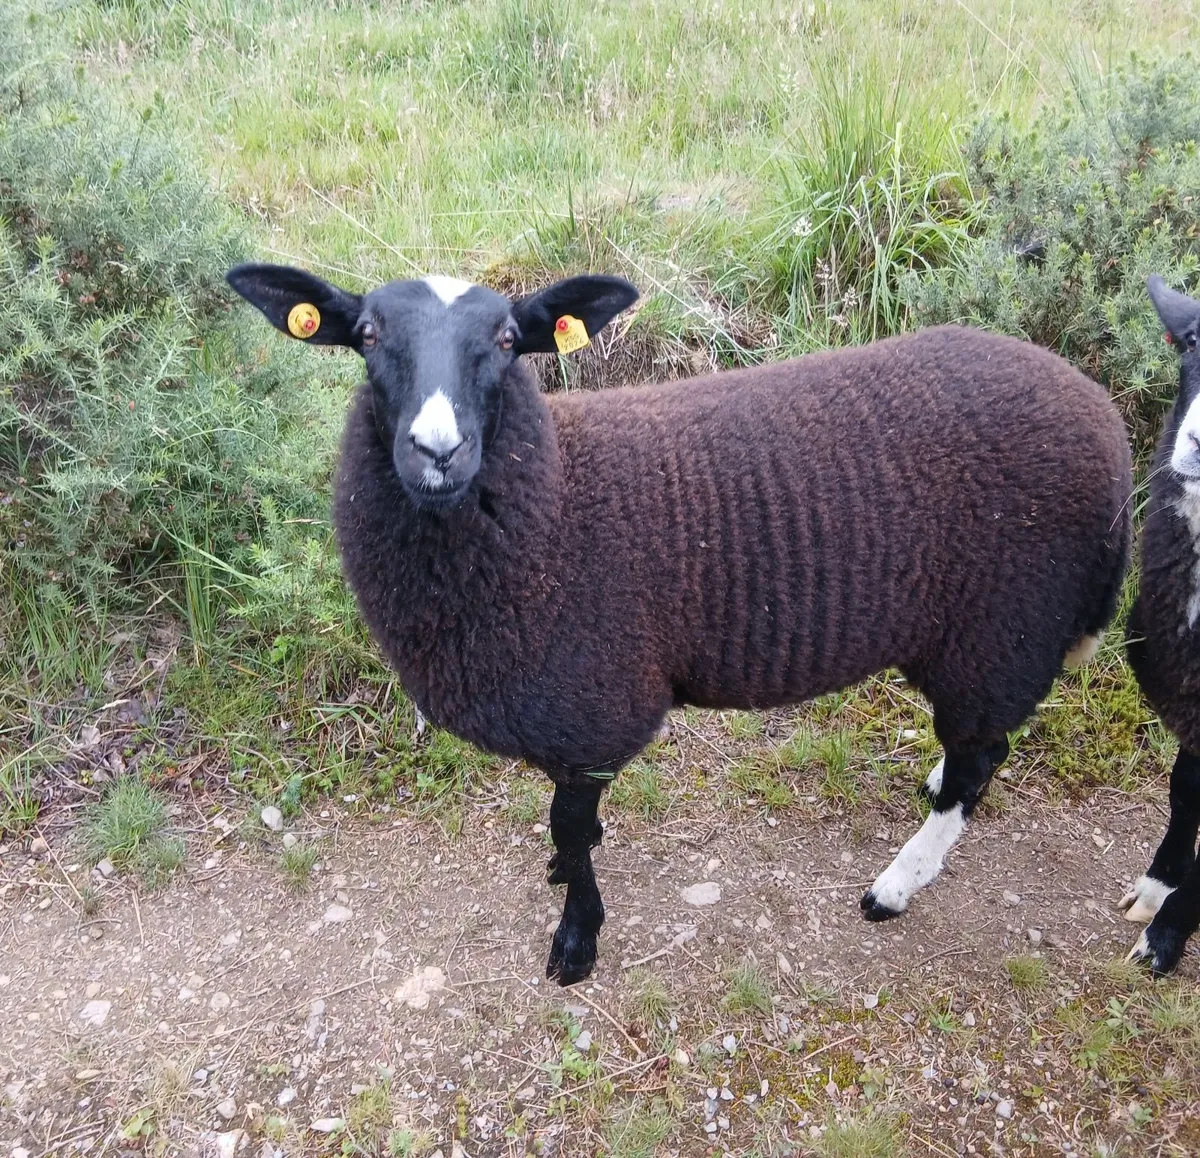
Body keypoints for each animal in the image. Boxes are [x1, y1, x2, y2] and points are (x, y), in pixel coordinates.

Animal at [226, 261, 1133, 986]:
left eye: (510, 340)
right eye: (367, 335)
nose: (436, 451)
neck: (555, 509)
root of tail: (1104, 416)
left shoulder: (592, 713)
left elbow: (574, 830)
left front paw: (577, 939)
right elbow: (570, 830)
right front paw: (561, 883)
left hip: (1002, 630)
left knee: (982, 761)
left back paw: (895, 886)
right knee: (975, 755)